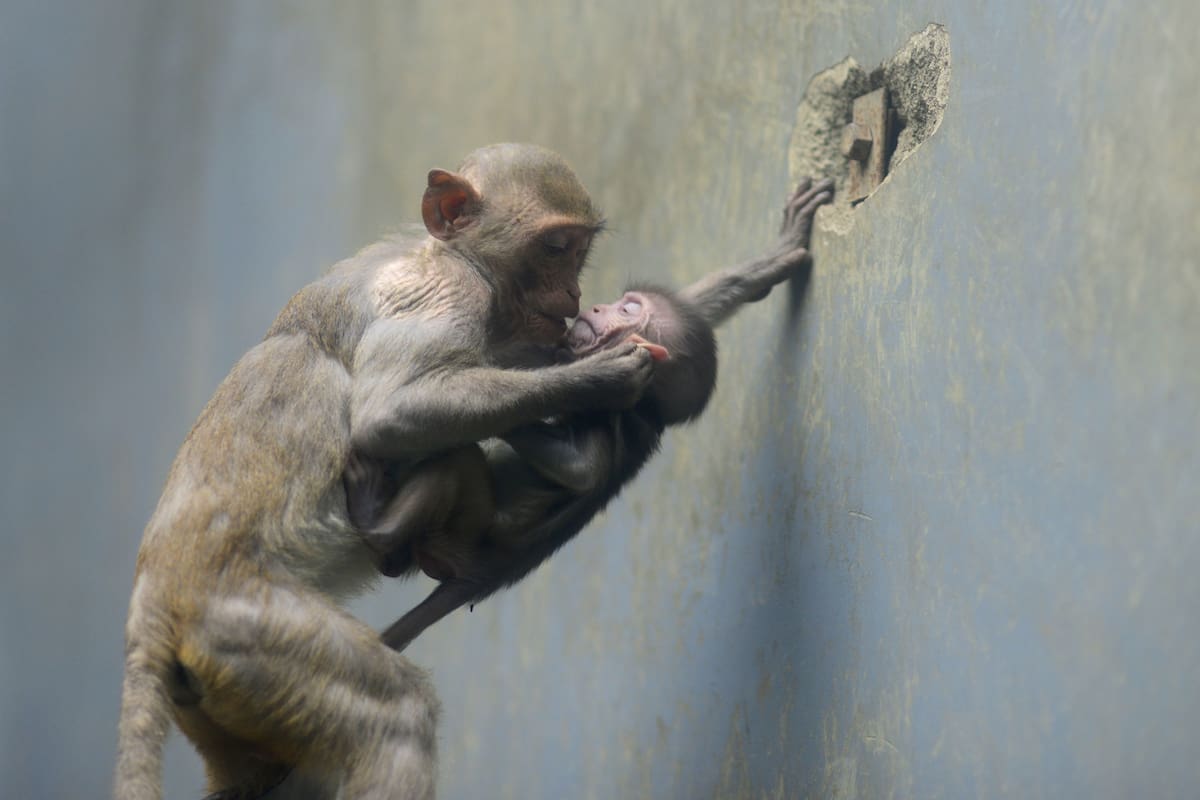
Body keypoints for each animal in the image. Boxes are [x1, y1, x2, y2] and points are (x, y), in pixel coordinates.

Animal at [114, 144, 660, 800]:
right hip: (248, 629)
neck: (450, 254)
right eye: (555, 247)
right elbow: (388, 414)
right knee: (397, 716)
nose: (576, 295)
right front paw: (601, 377)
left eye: (579, 250)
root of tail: (156, 597)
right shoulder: (446, 294)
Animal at [340, 177, 835, 653]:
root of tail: (477, 579)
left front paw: (592, 380)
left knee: (456, 460)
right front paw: (768, 259)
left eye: (629, 309)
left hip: (456, 538)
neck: (649, 413)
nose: (594, 306)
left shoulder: (609, 416)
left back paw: (375, 523)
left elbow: (582, 470)